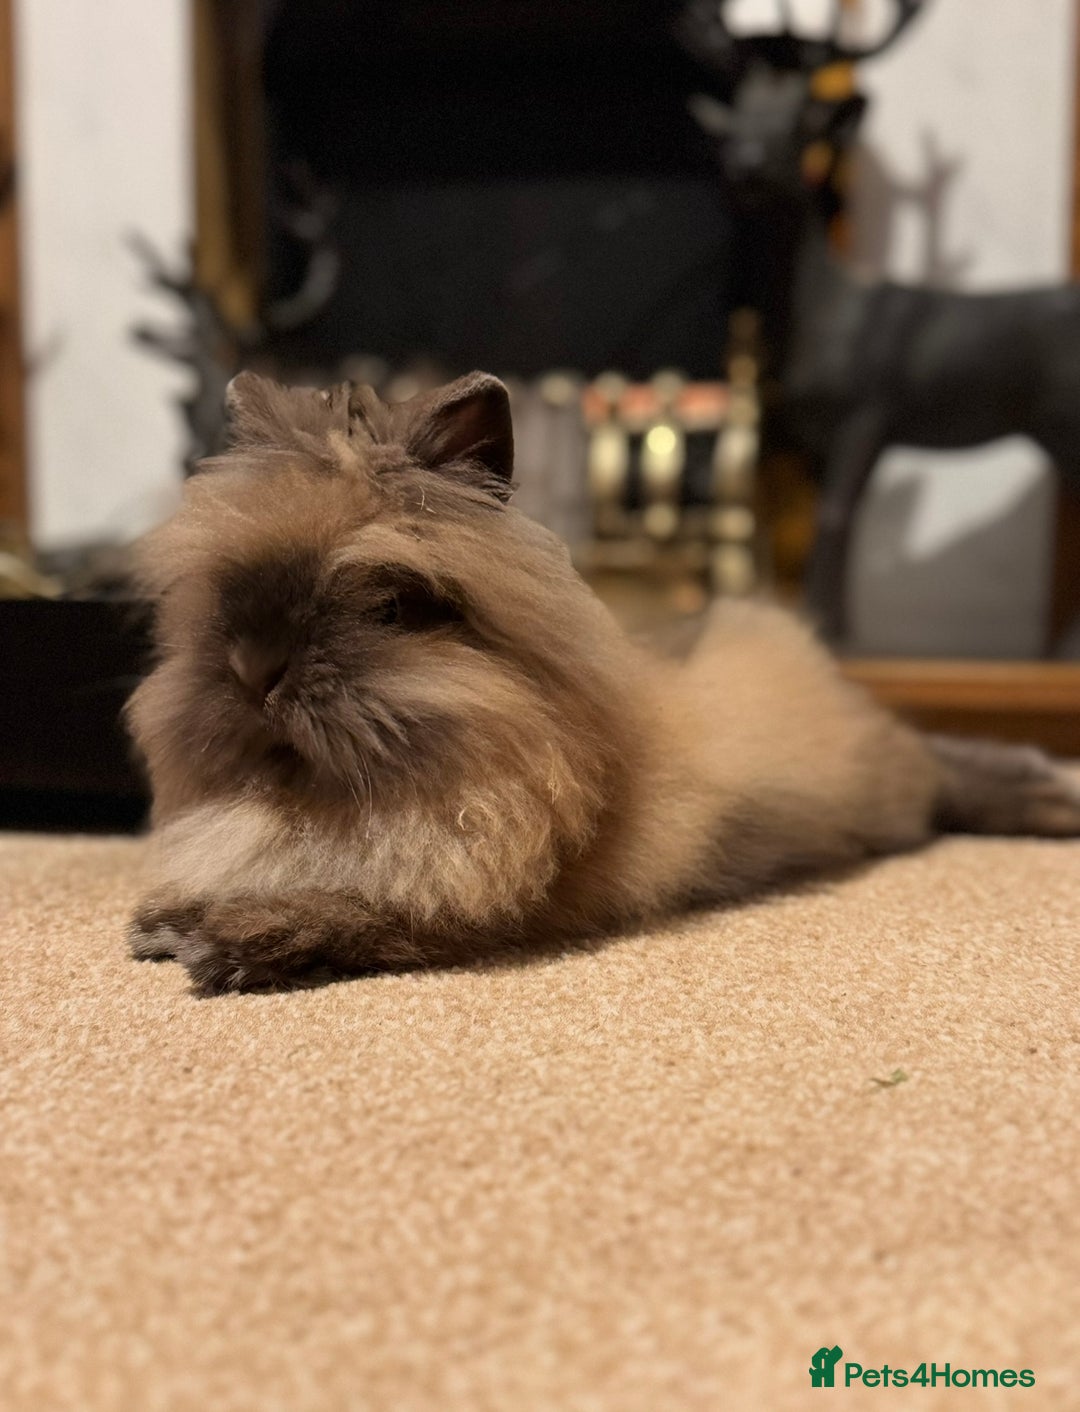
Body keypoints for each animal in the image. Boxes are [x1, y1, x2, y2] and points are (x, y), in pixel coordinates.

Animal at [126, 370, 1080, 994]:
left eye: (392, 606)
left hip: (892, 789)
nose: (255, 670)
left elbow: (351, 915)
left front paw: (228, 943)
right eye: (220, 593)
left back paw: (1049, 799)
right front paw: (161, 922)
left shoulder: (465, 906)